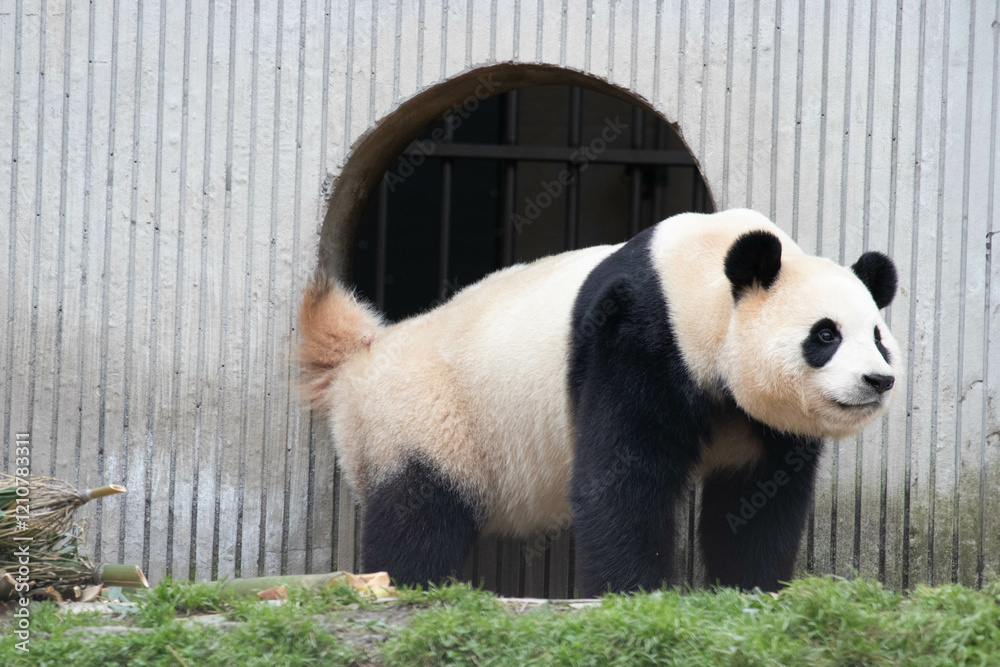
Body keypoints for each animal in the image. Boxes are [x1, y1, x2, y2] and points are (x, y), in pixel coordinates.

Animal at [298, 208, 899, 596]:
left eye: (877, 336)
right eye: (825, 335)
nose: (877, 380)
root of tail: (363, 356)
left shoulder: (757, 422)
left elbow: (756, 497)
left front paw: (752, 587)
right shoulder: (638, 335)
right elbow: (622, 476)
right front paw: (633, 591)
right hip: (423, 414)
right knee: (419, 512)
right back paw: (402, 583)